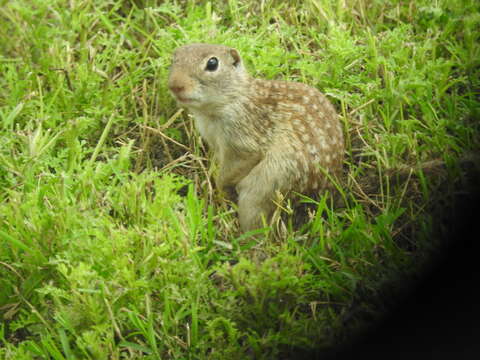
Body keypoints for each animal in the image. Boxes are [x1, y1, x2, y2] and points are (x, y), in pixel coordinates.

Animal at [169, 43, 344, 233]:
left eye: (212, 63)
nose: (175, 85)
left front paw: (220, 187)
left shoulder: (244, 140)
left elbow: (236, 165)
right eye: (174, 57)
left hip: (266, 188)